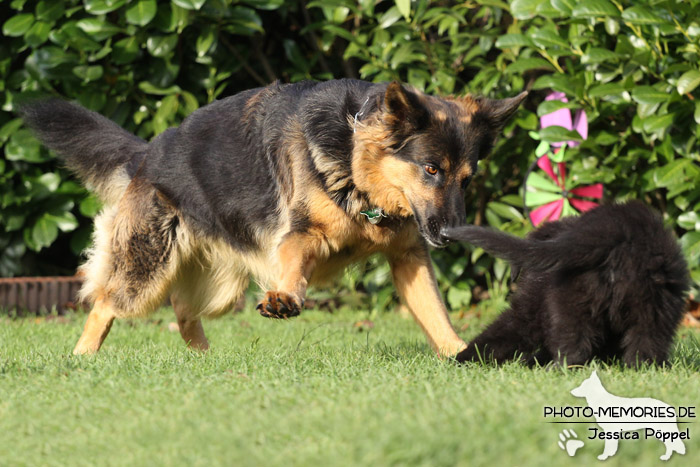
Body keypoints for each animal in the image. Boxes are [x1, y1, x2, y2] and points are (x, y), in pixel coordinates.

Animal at [21, 81, 524, 358]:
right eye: (431, 170)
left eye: (466, 179)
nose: (451, 235)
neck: (355, 161)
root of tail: (146, 155)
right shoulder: (299, 236)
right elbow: (293, 266)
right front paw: (285, 297)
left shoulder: (409, 258)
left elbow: (436, 315)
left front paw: (460, 356)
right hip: (147, 270)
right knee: (106, 301)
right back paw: (82, 359)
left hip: (221, 288)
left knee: (183, 310)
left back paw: (205, 361)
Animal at [442, 203, 688, 368]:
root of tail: (618, 231)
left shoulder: (531, 307)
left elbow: (502, 333)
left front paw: (458, 360)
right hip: (657, 306)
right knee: (647, 342)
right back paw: (642, 369)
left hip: (570, 302)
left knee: (574, 347)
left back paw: (556, 369)